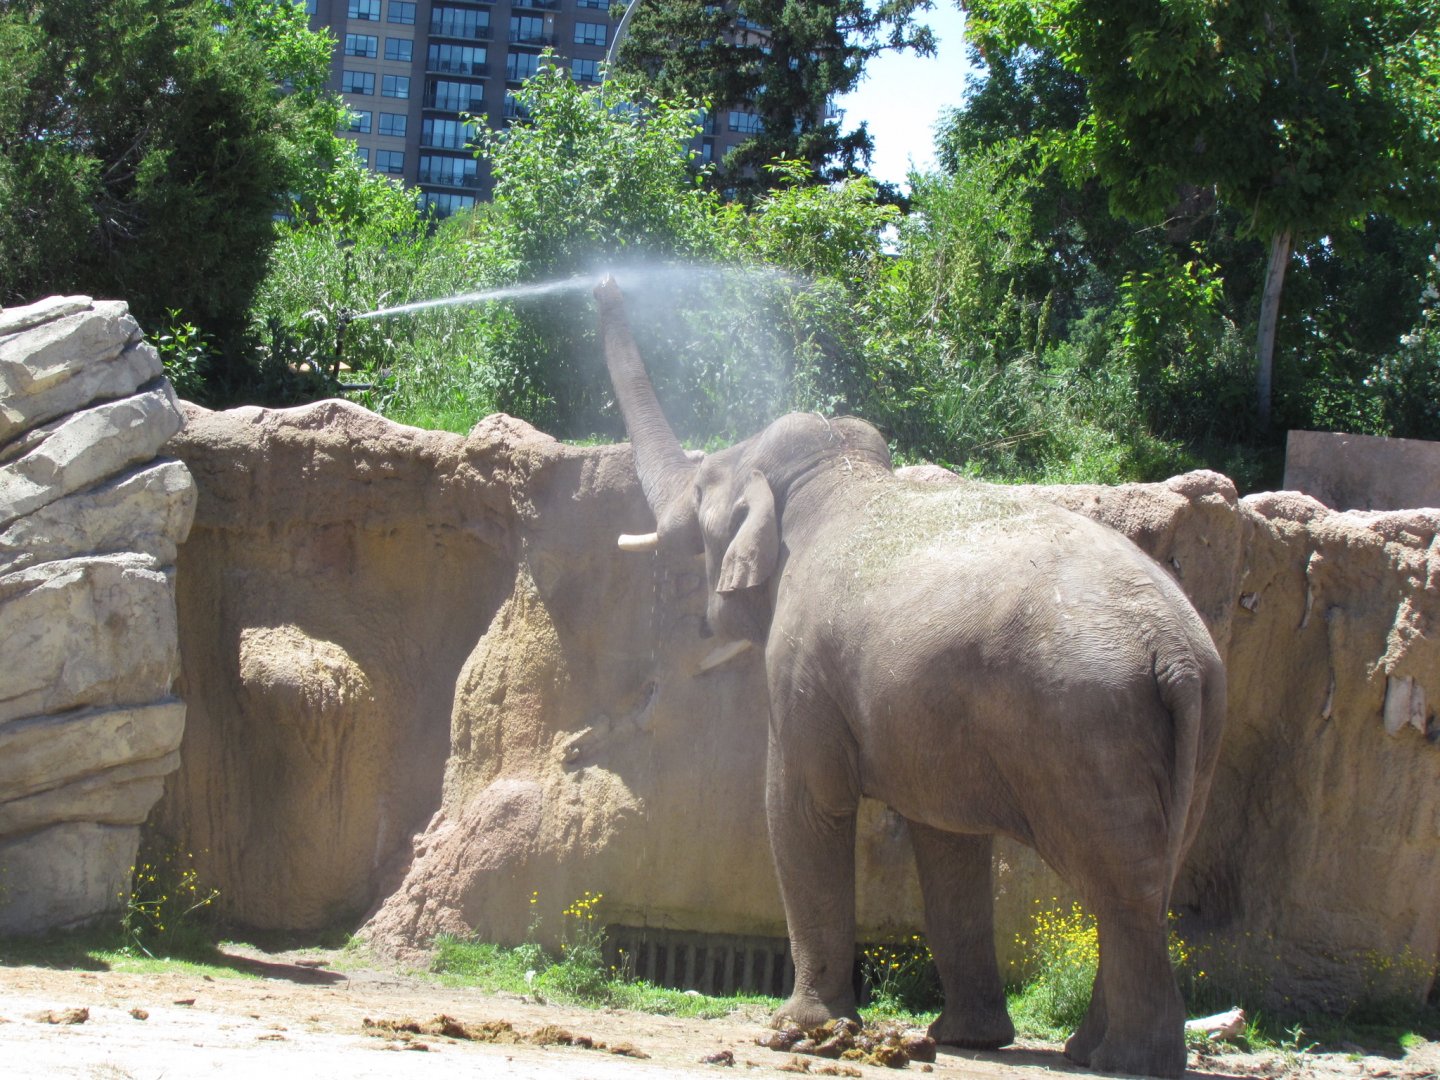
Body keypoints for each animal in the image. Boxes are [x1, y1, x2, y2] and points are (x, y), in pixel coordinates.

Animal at [593, 277, 1226, 1078]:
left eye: (703, 489)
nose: (607, 281)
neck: (835, 475)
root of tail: (1177, 650)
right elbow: (948, 840)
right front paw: (967, 1039)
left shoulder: (802, 663)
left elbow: (803, 805)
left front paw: (793, 1031)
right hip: (1194, 733)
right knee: (1152, 876)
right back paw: (1087, 1049)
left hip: (1090, 727)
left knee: (1123, 886)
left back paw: (1126, 1060)